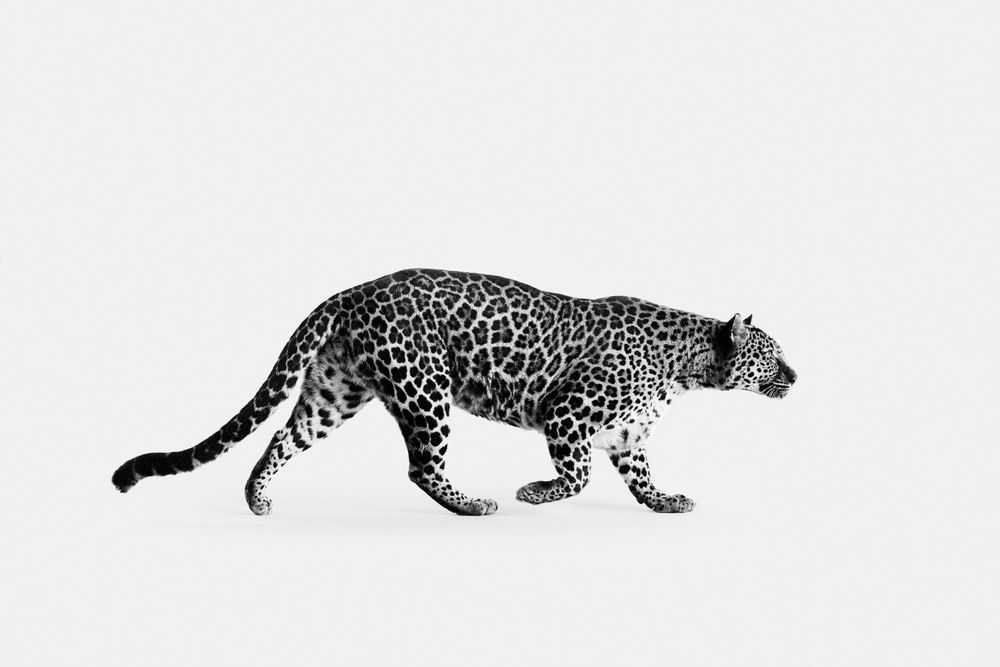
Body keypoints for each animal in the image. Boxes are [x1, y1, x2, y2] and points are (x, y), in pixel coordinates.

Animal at [112, 268, 796, 516]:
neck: (688, 366)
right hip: (425, 387)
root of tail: (350, 292)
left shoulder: (627, 434)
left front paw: (665, 502)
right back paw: (473, 505)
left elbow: (640, 475)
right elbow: (577, 476)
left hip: (335, 392)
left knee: (284, 434)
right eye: (773, 356)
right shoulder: (568, 415)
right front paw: (534, 493)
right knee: (421, 466)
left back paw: (257, 499)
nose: (797, 377)